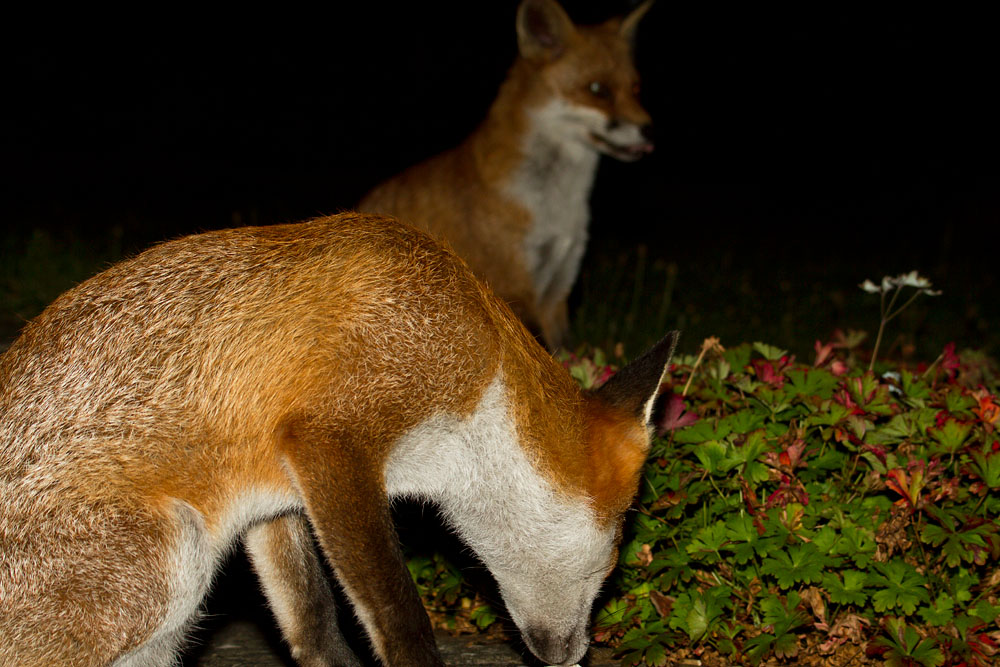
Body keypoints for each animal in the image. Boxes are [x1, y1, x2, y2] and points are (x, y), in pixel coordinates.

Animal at [0, 213, 677, 667]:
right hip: (172, 553)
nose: (576, 654)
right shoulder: (331, 438)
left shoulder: (275, 499)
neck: (486, 369)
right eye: (622, 535)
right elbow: (401, 621)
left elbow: (312, 629)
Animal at [359, 0, 654, 351]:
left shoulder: (556, 292)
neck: (558, 207)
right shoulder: (515, 288)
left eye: (636, 88)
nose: (649, 129)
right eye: (598, 90)